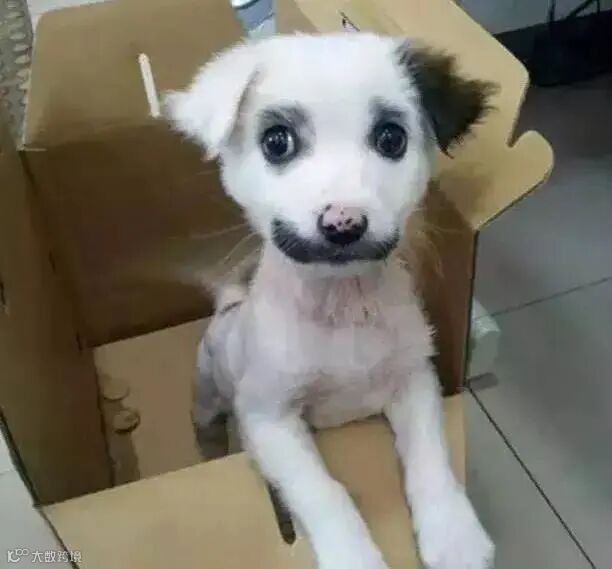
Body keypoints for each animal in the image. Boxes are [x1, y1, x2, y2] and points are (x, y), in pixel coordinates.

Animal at [166, 32, 496, 569]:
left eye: (391, 138)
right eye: (277, 141)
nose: (344, 224)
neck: (343, 305)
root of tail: (228, 306)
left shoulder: (414, 380)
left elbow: (432, 457)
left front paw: (454, 536)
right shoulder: (268, 418)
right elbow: (324, 491)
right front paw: (353, 555)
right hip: (208, 391)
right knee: (206, 422)